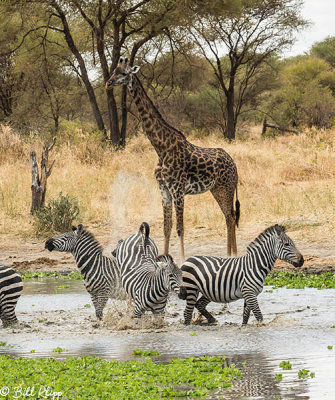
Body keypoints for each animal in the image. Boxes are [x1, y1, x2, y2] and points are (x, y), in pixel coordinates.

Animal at [106, 57, 240, 260]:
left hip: (227, 187)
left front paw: (183, 259)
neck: (161, 148)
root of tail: (233, 163)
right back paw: (228, 255)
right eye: (113, 70)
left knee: (231, 217)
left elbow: (180, 228)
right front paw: (164, 258)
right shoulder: (164, 189)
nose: (108, 83)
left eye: (123, 73)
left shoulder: (178, 189)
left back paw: (233, 256)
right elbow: (166, 228)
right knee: (228, 216)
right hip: (216, 189)